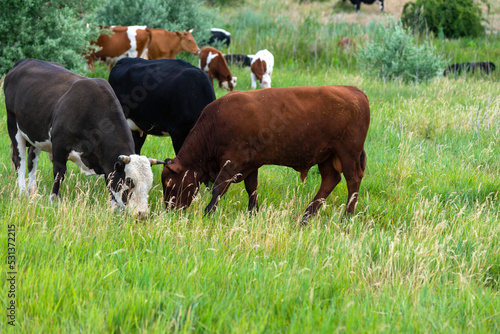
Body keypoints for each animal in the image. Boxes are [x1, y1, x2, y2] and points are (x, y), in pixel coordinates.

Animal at [3, 58, 162, 218]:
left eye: (149, 184)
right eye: (129, 181)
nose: (142, 214)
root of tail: (25, 61)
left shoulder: (107, 163)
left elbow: (109, 182)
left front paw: (114, 209)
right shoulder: (59, 145)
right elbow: (59, 174)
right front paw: (54, 202)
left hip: (35, 132)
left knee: (32, 160)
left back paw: (33, 191)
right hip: (13, 125)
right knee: (20, 160)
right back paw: (23, 192)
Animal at [162, 85, 370, 224]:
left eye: (169, 182)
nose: (169, 211)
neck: (214, 125)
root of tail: (353, 90)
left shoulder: (232, 162)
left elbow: (219, 188)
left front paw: (208, 212)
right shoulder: (250, 164)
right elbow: (251, 188)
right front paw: (253, 212)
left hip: (348, 153)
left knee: (353, 180)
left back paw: (346, 216)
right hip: (327, 156)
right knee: (330, 180)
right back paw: (306, 216)